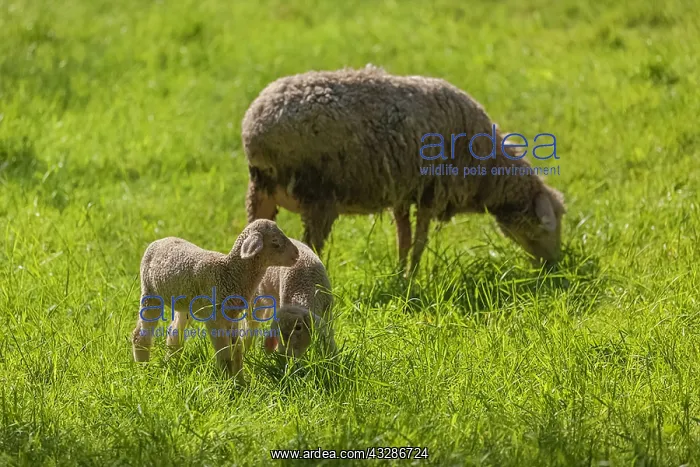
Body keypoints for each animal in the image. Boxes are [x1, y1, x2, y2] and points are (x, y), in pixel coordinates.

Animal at [131, 219, 299, 382]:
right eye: (275, 241)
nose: (297, 255)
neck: (229, 272)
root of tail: (160, 240)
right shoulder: (214, 317)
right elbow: (224, 355)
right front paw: (227, 383)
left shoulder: (232, 316)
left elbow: (237, 351)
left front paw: (241, 382)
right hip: (150, 293)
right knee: (140, 335)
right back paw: (144, 370)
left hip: (184, 303)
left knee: (174, 332)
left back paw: (172, 365)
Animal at [242, 65, 566, 275]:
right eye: (548, 224)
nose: (555, 265)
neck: (487, 170)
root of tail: (255, 127)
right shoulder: (432, 192)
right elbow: (420, 242)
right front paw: (413, 276)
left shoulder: (402, 192)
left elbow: (404, 238)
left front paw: (400, 275)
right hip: (318, 196)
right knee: (310, 245)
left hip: (261, 193)